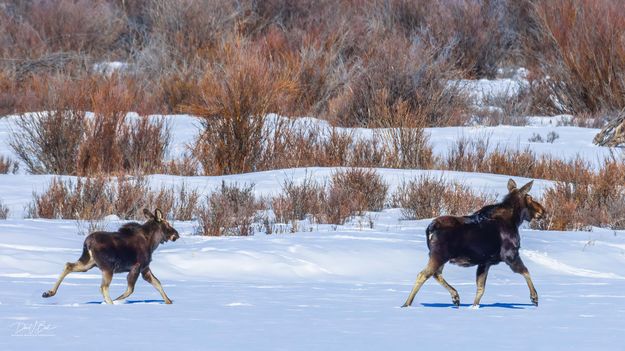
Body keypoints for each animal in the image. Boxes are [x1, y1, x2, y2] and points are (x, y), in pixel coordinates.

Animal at [41, 209, 179, 306]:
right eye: (167, 224)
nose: (176, 234)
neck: (152, 243)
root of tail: (88, 243)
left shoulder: (145, 268)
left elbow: (157, 283)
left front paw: (168, 301)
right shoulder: (137, 267)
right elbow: (130, 290)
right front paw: (117, 300)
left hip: (88, 263)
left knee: (68, 265)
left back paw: (48, 292)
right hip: (107, 267)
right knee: (103, 287)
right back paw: (111, 303)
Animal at [402, 180, 544, 310]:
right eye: (530, 198)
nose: (542, 210)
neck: (515, 220)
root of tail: (430, 229)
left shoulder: (485, 262)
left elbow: (480, 288)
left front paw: (474, 307)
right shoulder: (510, 255)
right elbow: (526, 271)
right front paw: (534, 298)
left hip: (438, 256)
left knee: (436, 274)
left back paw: (455, 297)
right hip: (440, 255)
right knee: (423, 275)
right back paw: (406, 304)